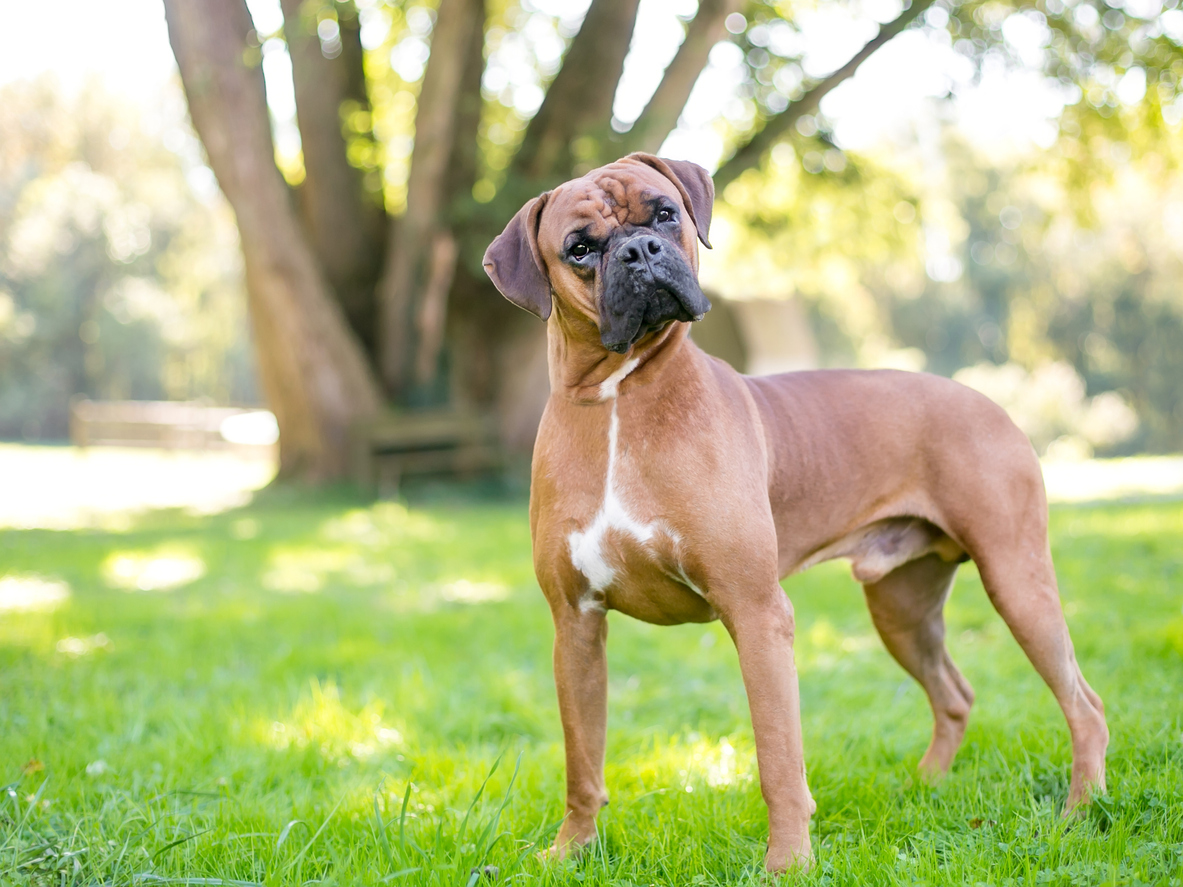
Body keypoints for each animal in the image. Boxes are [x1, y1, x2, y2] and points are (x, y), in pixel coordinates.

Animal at [480, 154, 1107, 875]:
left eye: (664, 213)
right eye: (580, 248)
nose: (640, 251)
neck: (620, 396)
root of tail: (987, 401)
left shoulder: (755, 615)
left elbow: (778, 758)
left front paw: (787, 863)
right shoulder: (576, 626)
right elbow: (582, 759)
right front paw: (570, 852)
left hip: (1015, 581)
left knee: (1084, 704)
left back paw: (1080, 810)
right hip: (902, 609)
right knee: (955, 695)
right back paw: (925, 788)